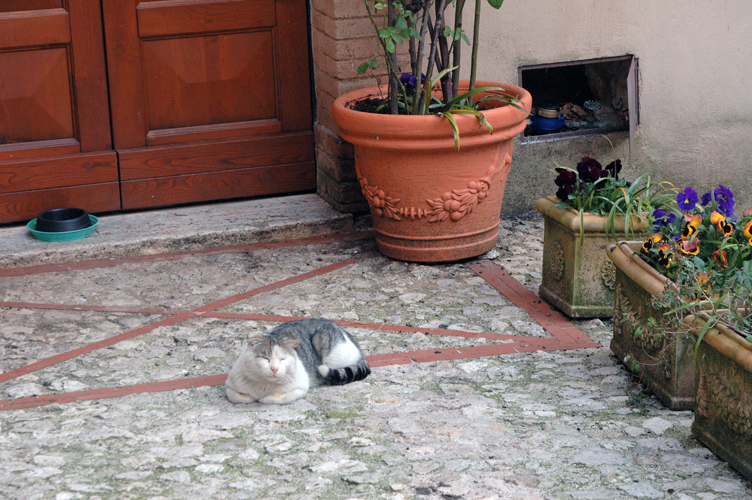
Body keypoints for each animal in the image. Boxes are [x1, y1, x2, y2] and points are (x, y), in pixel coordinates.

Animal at [226, 318, 374, 404]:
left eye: (283, 359)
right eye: (265, 358)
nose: (274, 368)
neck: (264, 385)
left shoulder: (301, 387)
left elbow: (275, 398)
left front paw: (264, 398)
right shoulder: (229, 386)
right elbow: (238, 397)